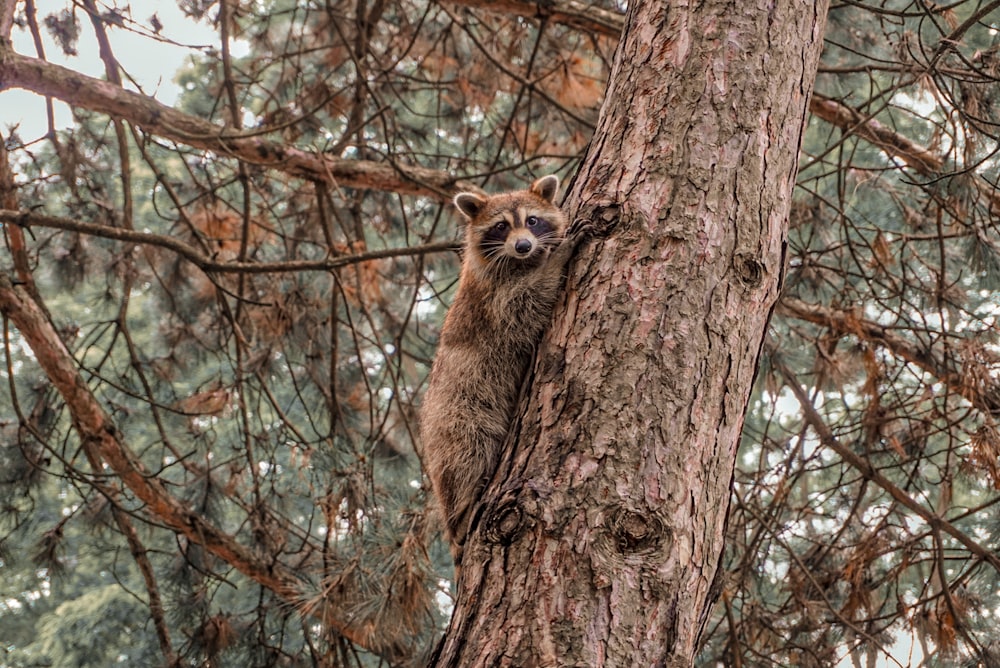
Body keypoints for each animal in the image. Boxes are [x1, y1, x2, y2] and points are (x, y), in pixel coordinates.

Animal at [420, 174, 588, 564]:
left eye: (532, 220)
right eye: (501, 226)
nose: (524, 246)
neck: (517, 262)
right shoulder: (493, 301)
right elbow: (523, 308)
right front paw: (555, 261)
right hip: (456, 414)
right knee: (468, 450)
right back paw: (462, 509)